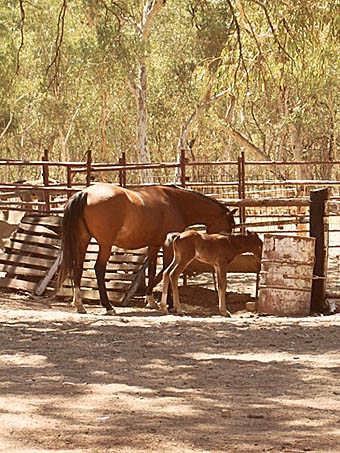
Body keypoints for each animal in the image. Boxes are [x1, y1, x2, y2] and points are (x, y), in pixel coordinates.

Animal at [58, 183, 236, 314]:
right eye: (230, 226)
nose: (225, 242)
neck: (176, 203)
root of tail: (86, 193)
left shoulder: (154, 245)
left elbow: (152, 270)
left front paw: (151, 300)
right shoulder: (167, 246)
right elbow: (166, 271)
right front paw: (169, 303)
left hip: (83, 240)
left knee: (78, 267)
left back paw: (79, 304)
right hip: (105, 245)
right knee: (99, 269)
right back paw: (108, 307)